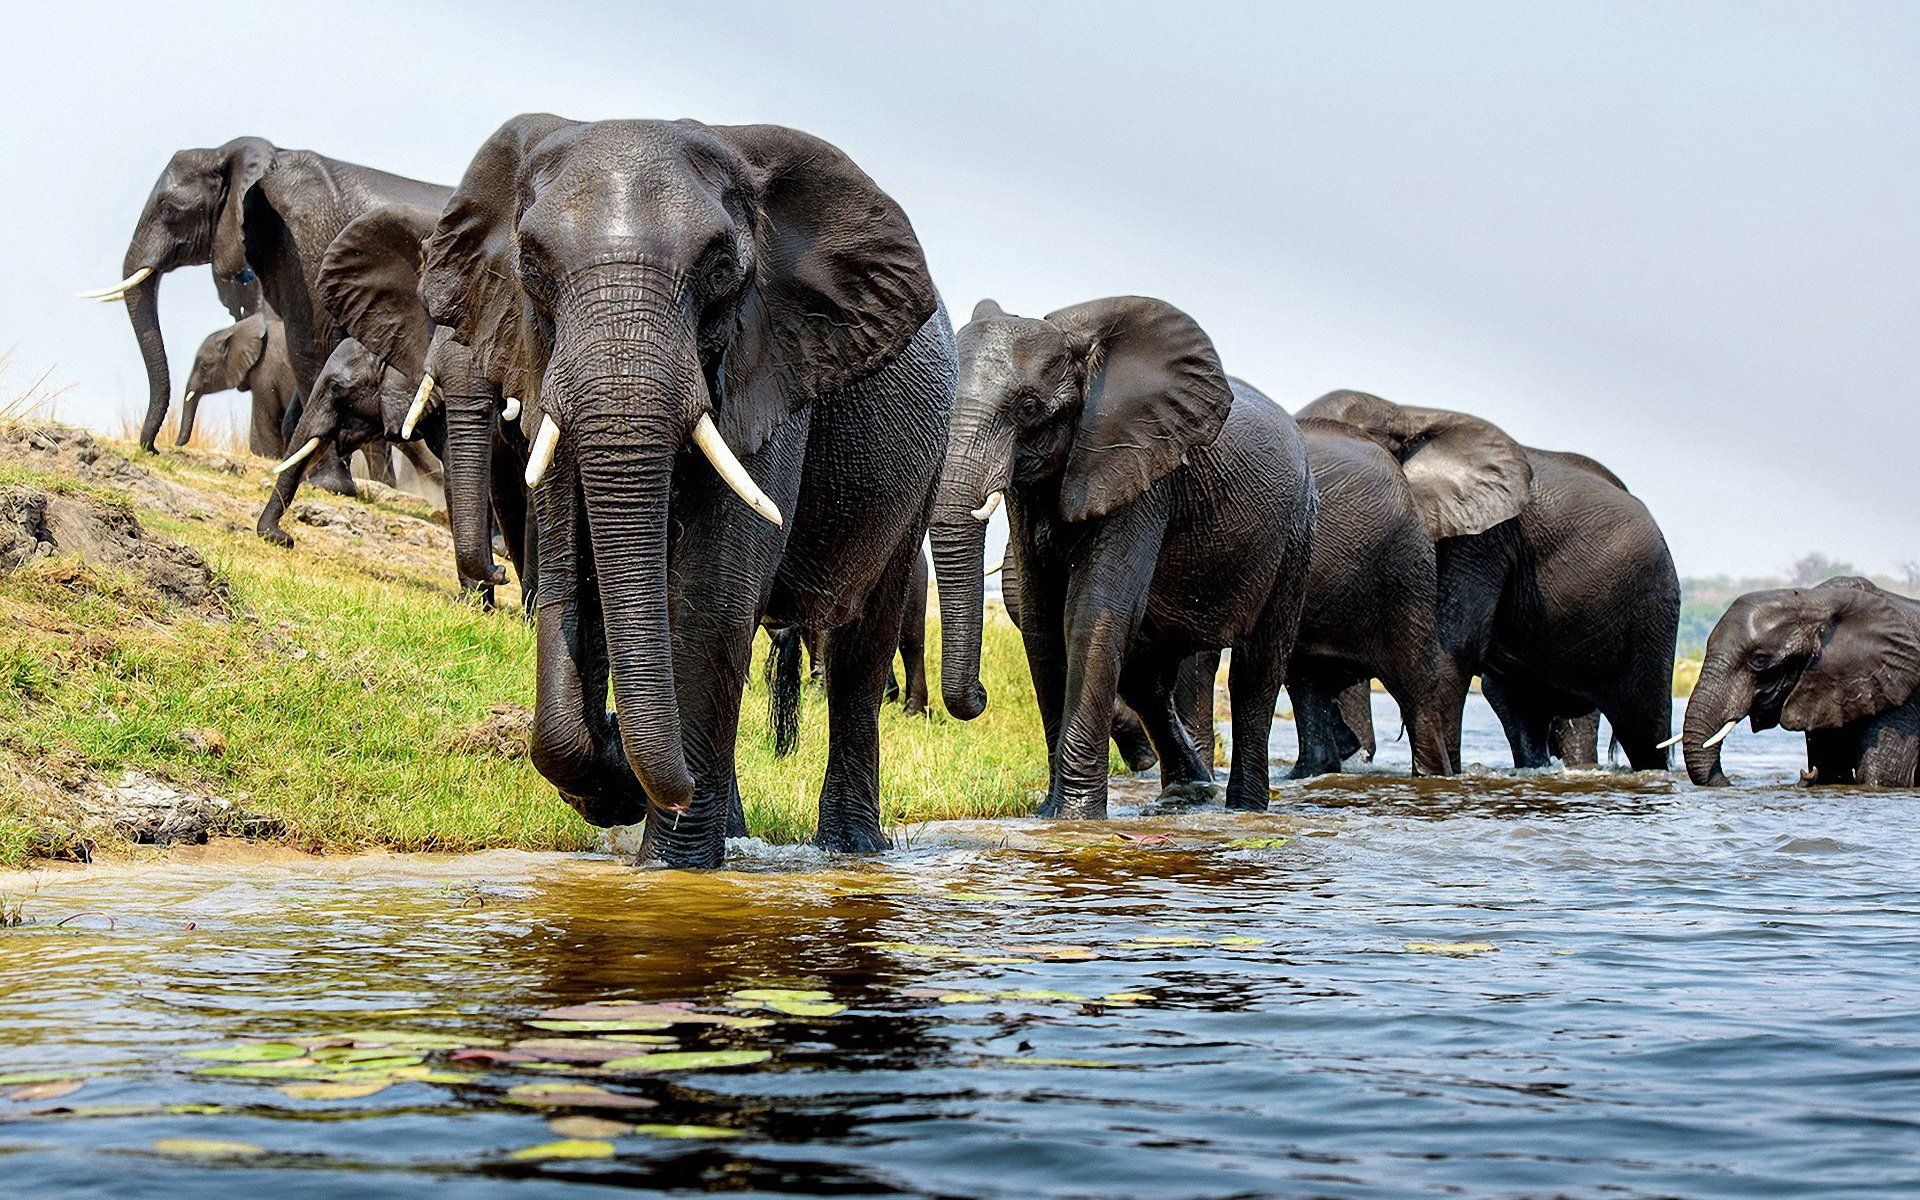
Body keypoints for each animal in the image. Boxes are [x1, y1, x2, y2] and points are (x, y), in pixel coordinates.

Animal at [424, 114, 956, 860]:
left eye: (721, 267)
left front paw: (666, 861)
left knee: (861, 648)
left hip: (924, 468)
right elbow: (570, 578)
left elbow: (709, 599)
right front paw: (614, 781)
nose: (623, 747)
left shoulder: (771, 363)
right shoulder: (540, 360)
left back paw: (849, 850)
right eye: (531, 265)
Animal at [929, 295, 1320, 814]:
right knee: (1146, 678)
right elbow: (1041, 620)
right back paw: (1190, 791)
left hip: (1295, 534)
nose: (979, 694)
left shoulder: (1143, 471)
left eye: (1029, 408)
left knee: (1256, 671)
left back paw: (1244, 807)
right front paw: (1049, 813)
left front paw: (1074, 815)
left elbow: (1093, 611)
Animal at [1681, 572, 1920, 787]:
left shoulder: (1902, 691)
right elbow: (1832, 768)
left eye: (1759, 659)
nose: (1806, 773)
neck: (1816, 601)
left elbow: (1883, 776)